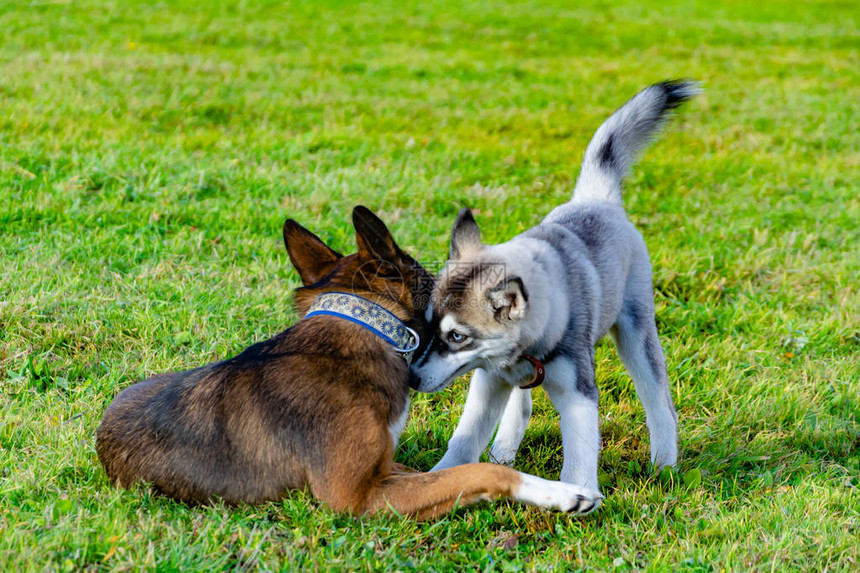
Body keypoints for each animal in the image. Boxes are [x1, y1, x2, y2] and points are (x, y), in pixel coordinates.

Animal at [95, 204, 604, 520]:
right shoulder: (354, 497)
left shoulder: (383, 470)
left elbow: (440, 473)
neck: (366, 328)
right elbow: (480, 471)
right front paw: (563, 494)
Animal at [410, 80, 700, 500]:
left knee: (659, 401)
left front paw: (580, 496)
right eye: (428, 326)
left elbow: (579, 457)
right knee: (521, 408)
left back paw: (665, 465)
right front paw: (442, 478)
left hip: (636, 333)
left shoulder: (578, 393)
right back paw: (503, 454)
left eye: (457, 336)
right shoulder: (489, 381)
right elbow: (464, 439)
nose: (411, 379)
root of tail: (595, 197)